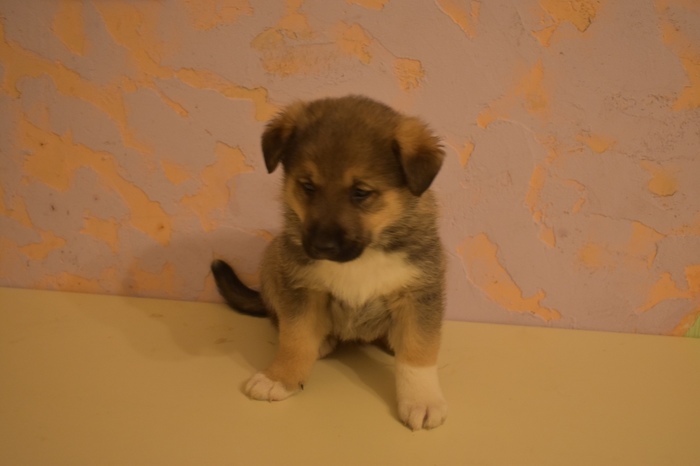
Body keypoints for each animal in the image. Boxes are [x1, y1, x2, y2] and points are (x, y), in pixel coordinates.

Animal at [211, 95, 447, 430]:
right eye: (308, 186)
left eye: (361, 192)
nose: (321, 247)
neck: (365, 255)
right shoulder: (301, 288)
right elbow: (295, 339)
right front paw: (279, 378)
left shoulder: (420, 293)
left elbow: (418, 352)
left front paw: (422, 401)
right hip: (272, 260)